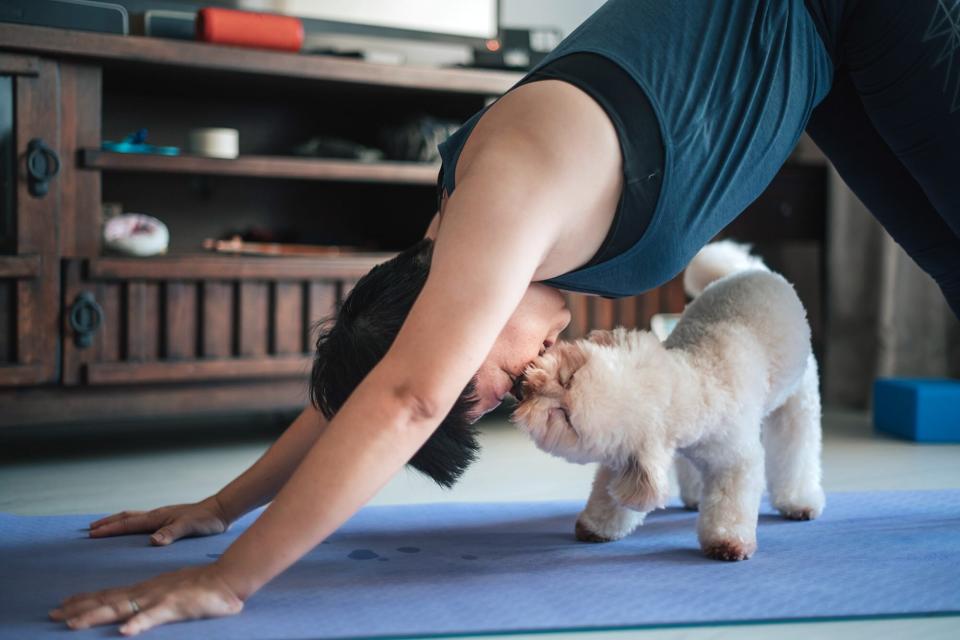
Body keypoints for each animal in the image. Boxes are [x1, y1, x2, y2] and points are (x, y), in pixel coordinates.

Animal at [510, 240, 824, 560]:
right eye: (569, 377)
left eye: (566, 417)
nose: (525, 388)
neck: (698, 378)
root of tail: (750, 269)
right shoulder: (633, 459)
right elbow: (609, 497)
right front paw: (597, 525)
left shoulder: (735, 461)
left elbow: (729, 504)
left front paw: (727, 541)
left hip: (799, 398)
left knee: (795, 447)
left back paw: (798, 500)